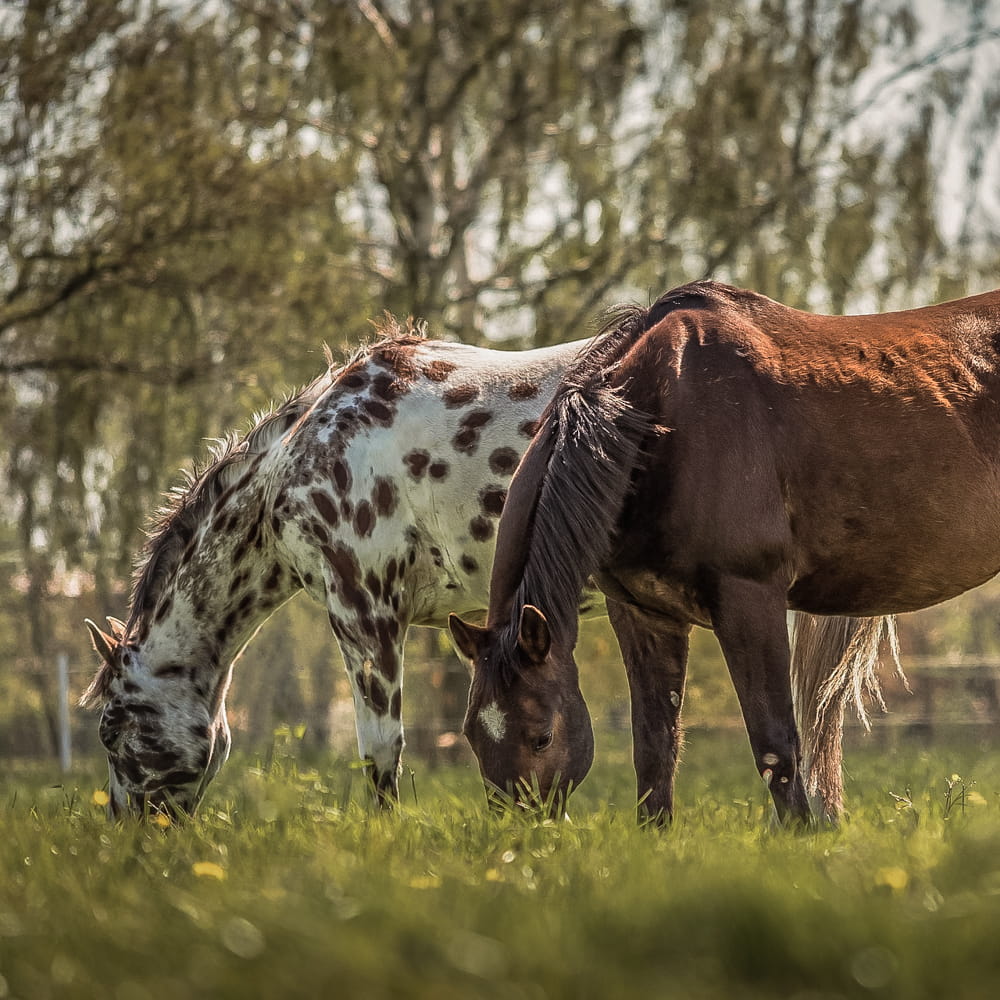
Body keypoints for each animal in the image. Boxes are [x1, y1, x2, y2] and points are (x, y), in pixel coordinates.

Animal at [449, 279, 999, 826]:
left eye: (542, 736)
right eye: (473, 736)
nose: (521, 833)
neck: (663, 420)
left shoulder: (749, 599)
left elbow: (776, 747)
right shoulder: (643, 614)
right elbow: (655, 750)